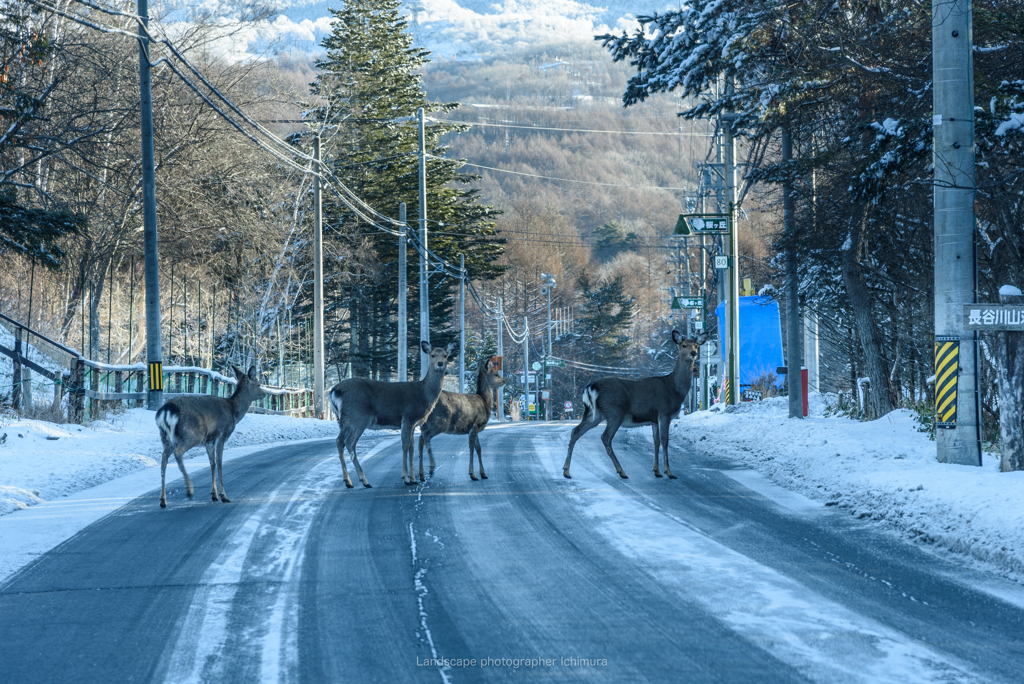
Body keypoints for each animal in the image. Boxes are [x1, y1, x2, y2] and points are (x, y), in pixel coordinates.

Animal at [153, 362, 264, 507]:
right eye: (258, 384)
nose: (264, 393)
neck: (233, 413)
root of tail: (167, 409)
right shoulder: (221, 435)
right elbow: (219, 462)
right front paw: (223, 495)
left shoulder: (208, 442)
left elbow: (212, 464)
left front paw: (214, 494)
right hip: (192, 433)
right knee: (178, 453)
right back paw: (189, 490)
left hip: (166, 437)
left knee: (163, 459)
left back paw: (163, 500)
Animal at [327, 339, 456, 485]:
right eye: (433, 355)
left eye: (445, 355)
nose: (440, 363)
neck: (424, 395)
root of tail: (334, 391)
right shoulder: (408, 417)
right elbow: (405, 445)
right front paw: (406, 478)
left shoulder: (413, 424)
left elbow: (411, 447)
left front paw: (413, 478)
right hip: (358, 417)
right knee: (349, 442)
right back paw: (363, 480)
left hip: (344, 420)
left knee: (339, 441)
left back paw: (348, 480)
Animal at [565, 331, 708, 481]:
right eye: (683, 345)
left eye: (696, 345)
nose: (693, 353)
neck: (675, 389)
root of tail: (591, 387)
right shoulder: (665, 412)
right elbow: (665, 441)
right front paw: (669, 472)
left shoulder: (654, 419)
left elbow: (656, 441)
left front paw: (656, 471)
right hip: (615, 411)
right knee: (605, 437)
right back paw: (621, 471)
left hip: (594, 413)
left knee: (575, 431)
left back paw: (566, 471)